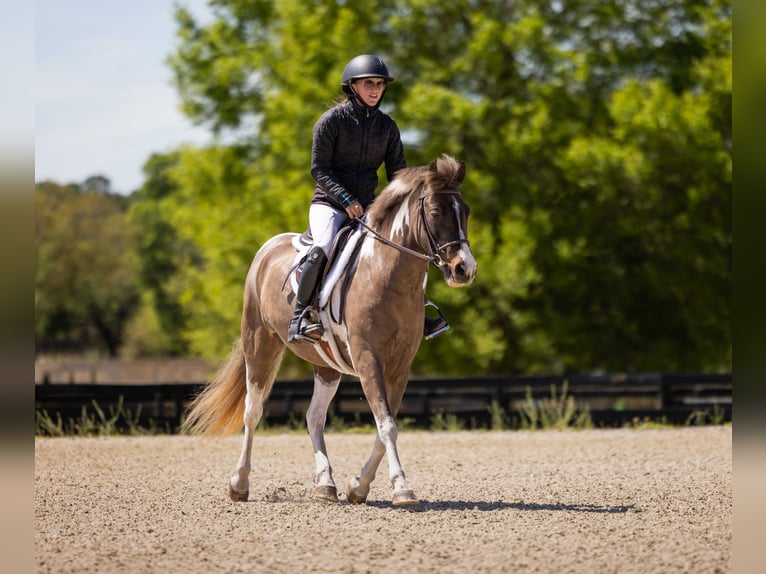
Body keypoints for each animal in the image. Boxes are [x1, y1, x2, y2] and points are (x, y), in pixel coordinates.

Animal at [182, 154, 477, 507]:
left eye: (466, 211)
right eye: (434, 212)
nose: (464, 269)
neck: (386, 275)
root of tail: (268, 248)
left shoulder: (399, 367)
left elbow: (385, 426)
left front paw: (358, 487)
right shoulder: (368, 359)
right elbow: (386, 426)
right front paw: (402, 488)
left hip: (326, 364)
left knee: (314, 416)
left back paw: (325, 484)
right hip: (260, 344)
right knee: (253, 411)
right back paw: (239, 484)